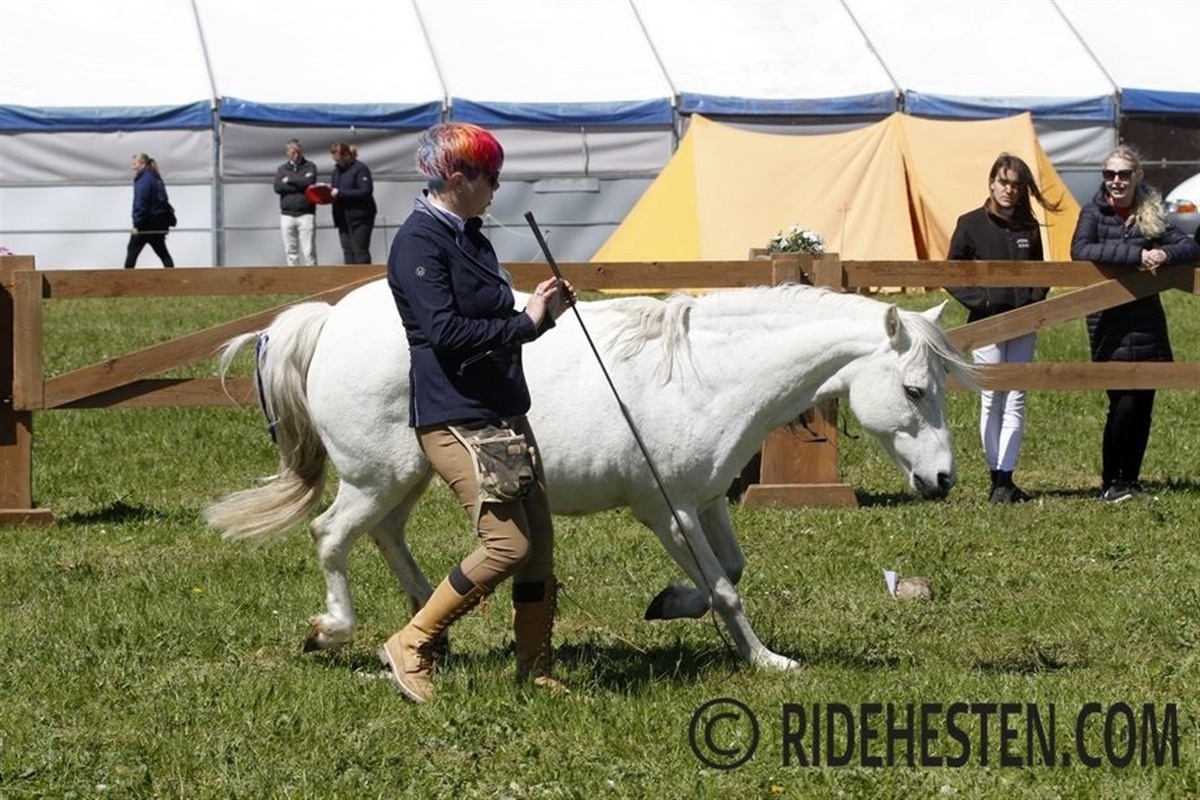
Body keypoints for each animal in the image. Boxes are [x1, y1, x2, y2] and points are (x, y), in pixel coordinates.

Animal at [205, 280, 975, 671]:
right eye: (914, 390)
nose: (944, 479)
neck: (705, 374)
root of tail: (329, 321)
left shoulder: (704, 502)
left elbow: (729, 569)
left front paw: (669, 603)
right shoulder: (669, 511)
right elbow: (727, 591)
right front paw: (767, 663)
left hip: (405, 478)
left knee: (387, 537)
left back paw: (431, 631)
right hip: (376, 477)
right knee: (331, 535)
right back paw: (334, 630)